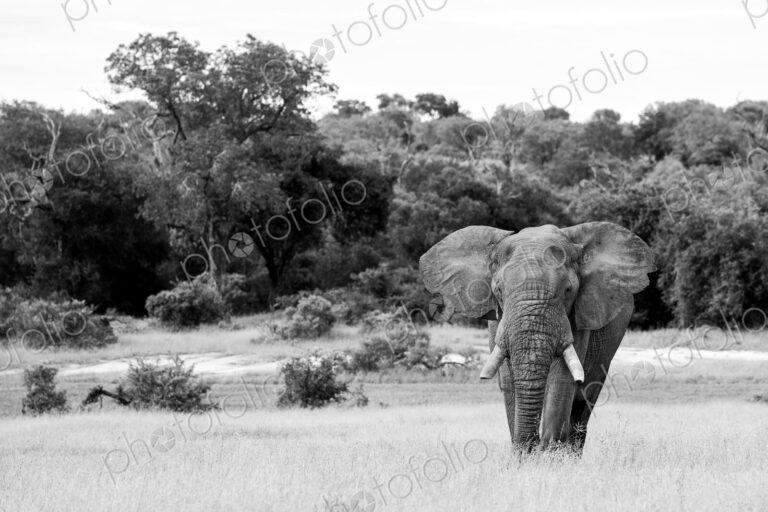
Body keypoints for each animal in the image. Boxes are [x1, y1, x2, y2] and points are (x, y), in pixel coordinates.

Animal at [419, 222, 655, 450]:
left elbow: (562, 378)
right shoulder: (500, 324)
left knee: (584, 399)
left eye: (568, 290)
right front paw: (524, 454)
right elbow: (509, 379)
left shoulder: (578, 317)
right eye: (499, 291)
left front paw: (547, 455)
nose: (533, 445)